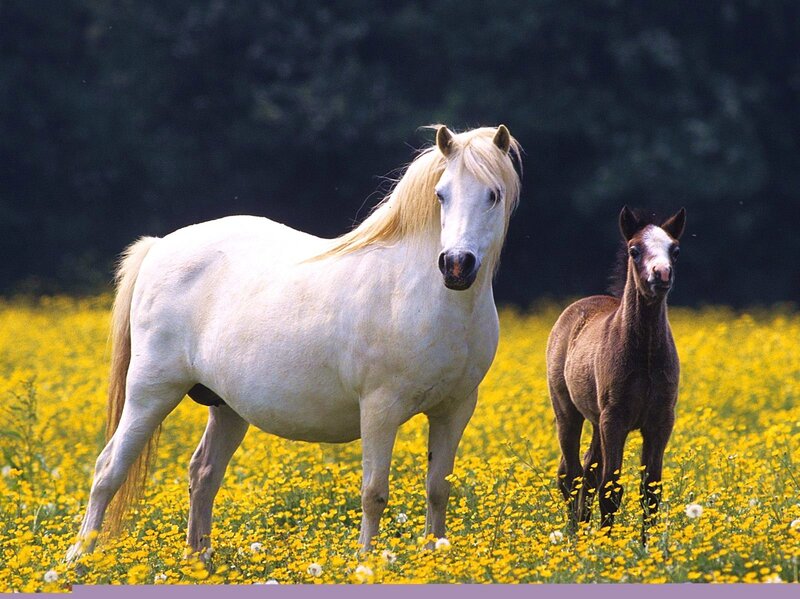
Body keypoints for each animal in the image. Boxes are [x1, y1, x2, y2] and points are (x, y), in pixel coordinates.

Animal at [66, 125, 522, 563]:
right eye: (441, 194)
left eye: (493, 195)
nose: (456, 266)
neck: (422, 296)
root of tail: (160, 245)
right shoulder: (380, 409)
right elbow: (374, 494)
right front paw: (365, 563)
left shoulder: (454, 410)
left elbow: (438, 489)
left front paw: (434, 557)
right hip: (151, 392)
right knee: (108, 469)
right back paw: (79, 559)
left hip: (227, 408)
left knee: (203, 473)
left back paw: (198, 559)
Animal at [545, 206, 685, 540]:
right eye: (635, 250)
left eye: (675, 250)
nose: (662, 274)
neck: (644, 355)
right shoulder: (615, 419)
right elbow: (611, 488)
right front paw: (608, 546)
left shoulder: (661, 420)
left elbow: (650, 490)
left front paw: (647, 546)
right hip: (568, 412)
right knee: (571, 475)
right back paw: (574, 536)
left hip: (597, 422)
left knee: (587, 472)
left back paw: (583, 530)